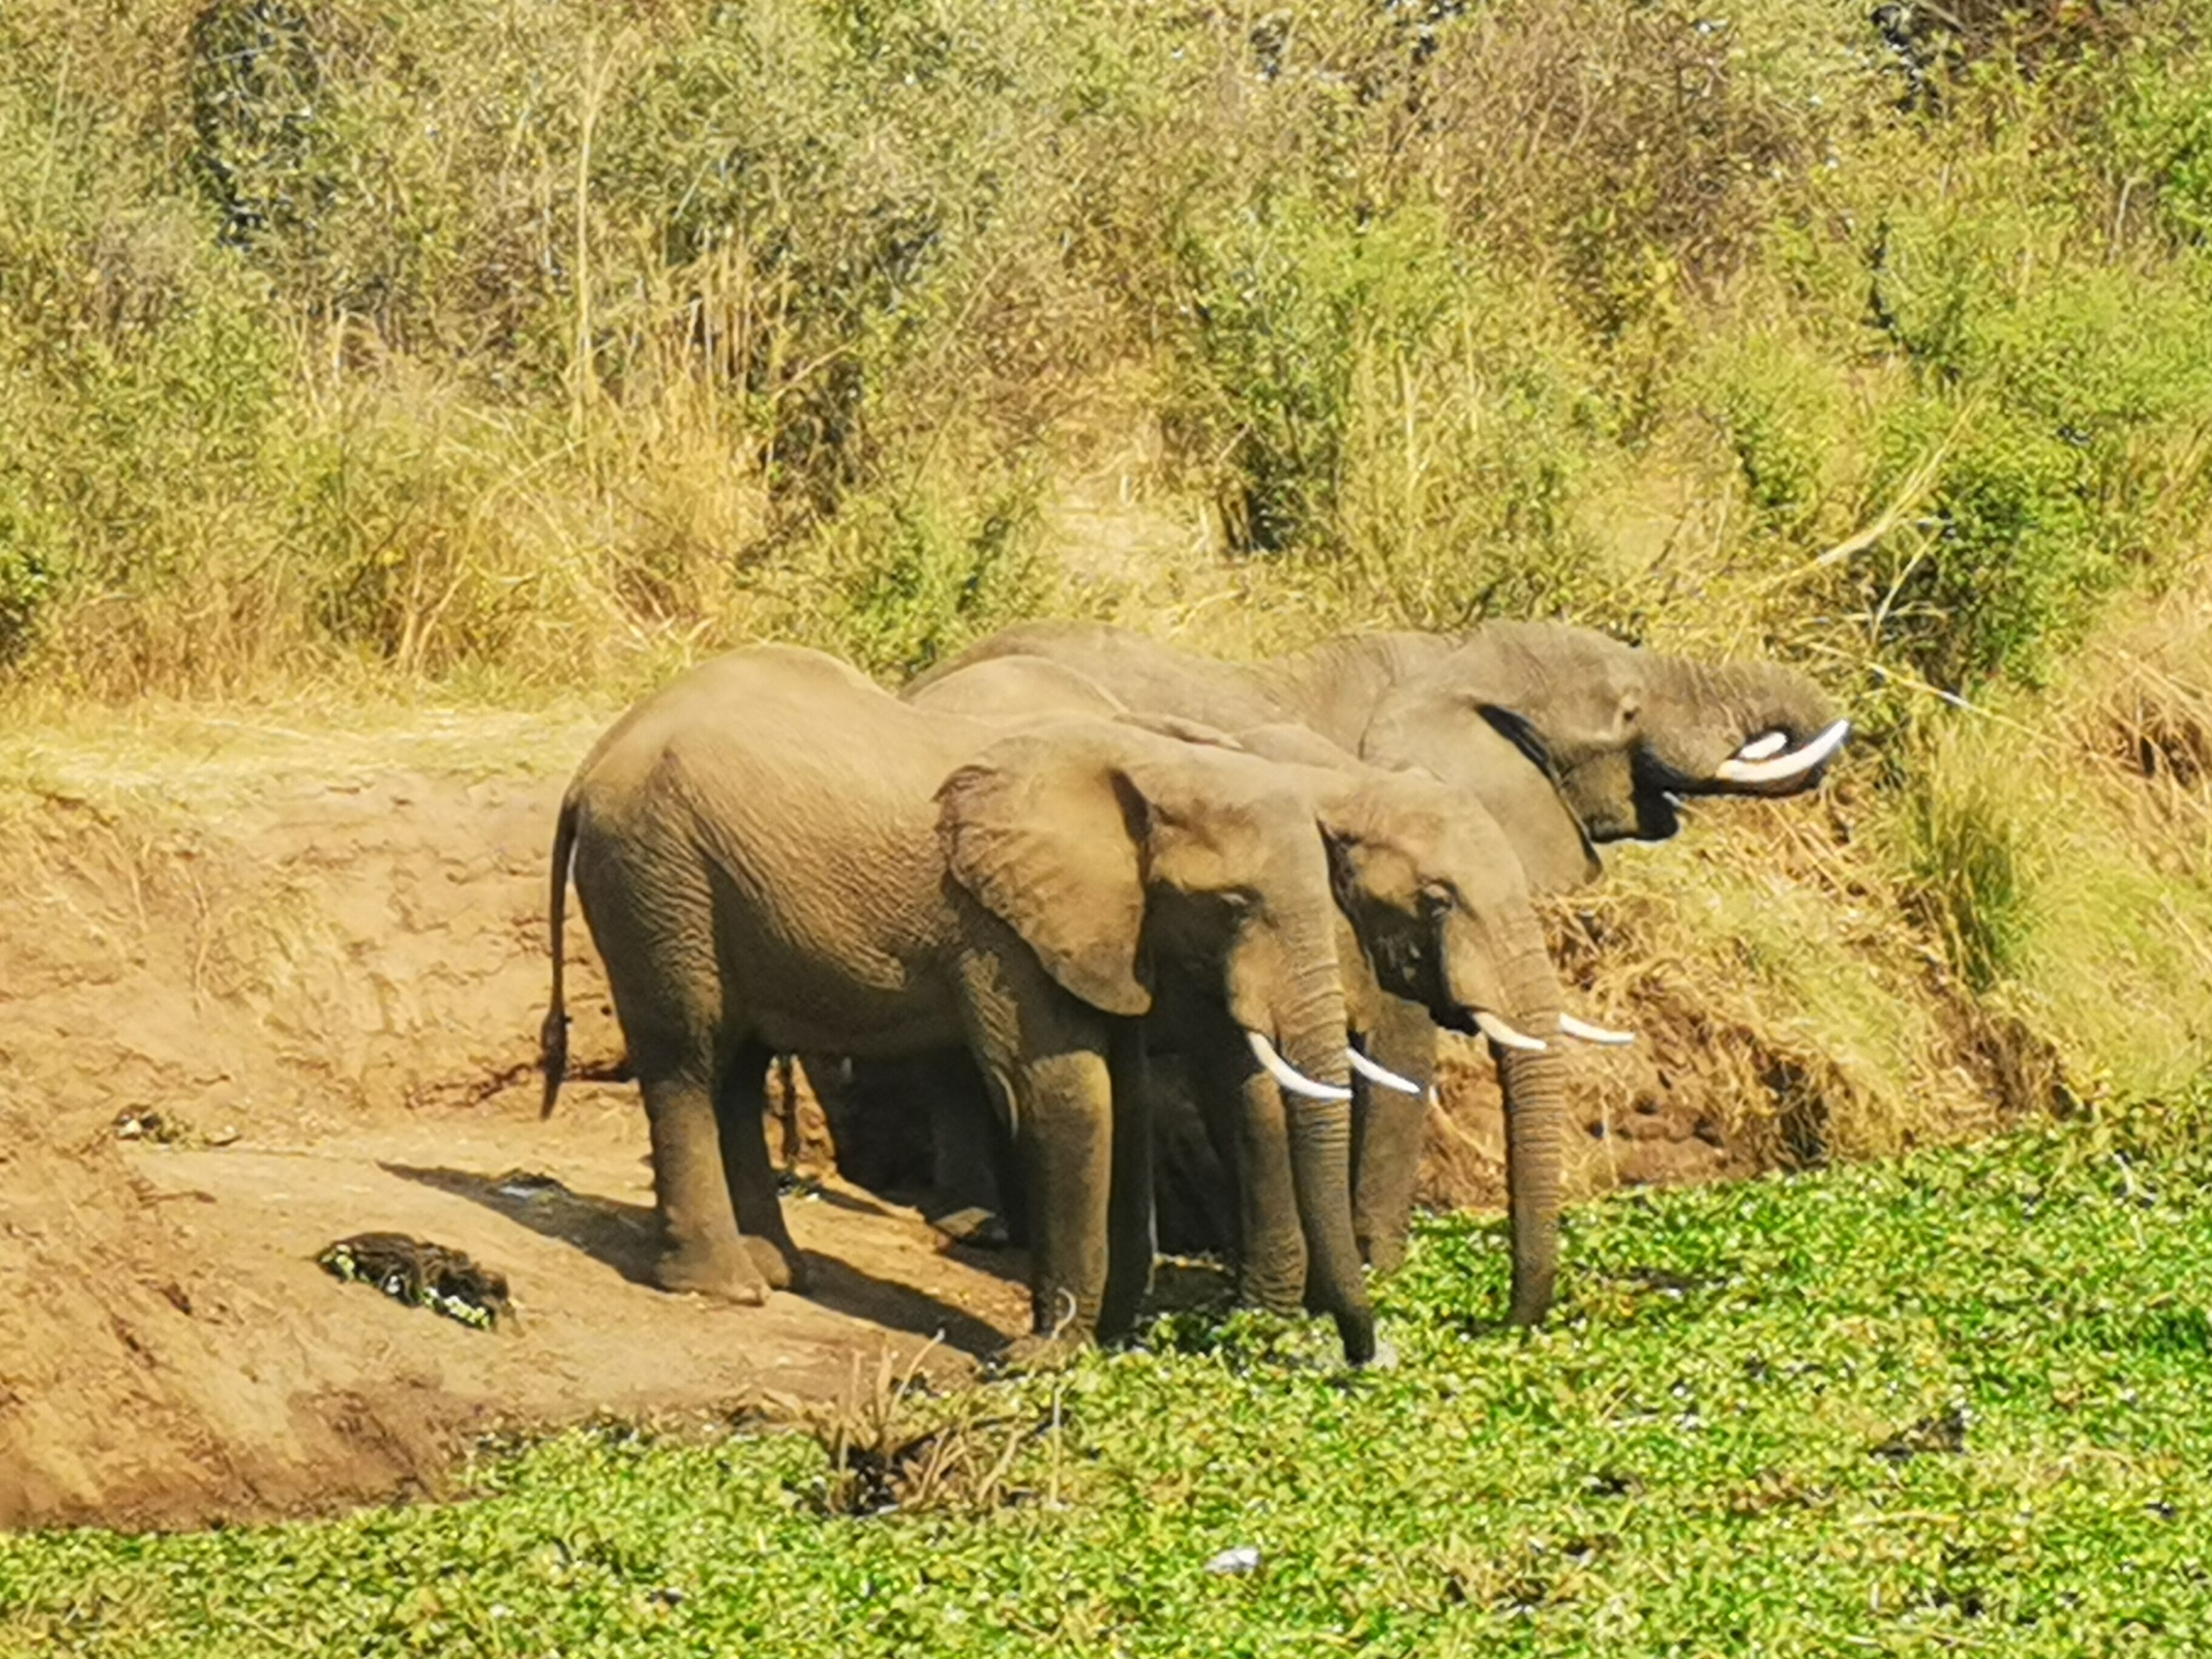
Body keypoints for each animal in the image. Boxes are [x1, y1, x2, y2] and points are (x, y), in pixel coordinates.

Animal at [538, 644, 1378, 1361]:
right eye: (1233, 905)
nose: (1361, 1358)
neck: (1147, 764)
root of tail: (589, 766)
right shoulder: (1001, 932)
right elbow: (1063, 1096)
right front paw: (1043, 1358)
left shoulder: (1101, 930)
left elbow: (1126, 1094)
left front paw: (1108, 1340)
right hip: (657, 880)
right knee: (687, 1058)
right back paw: (728, 1288)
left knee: (737, 1070)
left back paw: (782, 1275)